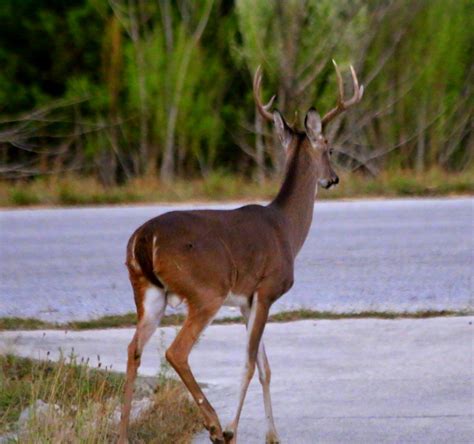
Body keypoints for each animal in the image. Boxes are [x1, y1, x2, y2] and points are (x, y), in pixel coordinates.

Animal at [118, 59, 362, 444]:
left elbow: (265, 366)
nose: (333, 179)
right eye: (329, 147)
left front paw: (272, 435)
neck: (286, 229)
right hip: (205, 290)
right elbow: (248, 363)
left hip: (147, 290)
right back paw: (214, 424)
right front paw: (233, 429)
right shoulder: (267, 288)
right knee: (176, 351)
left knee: (134, 348)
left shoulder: (247, 300)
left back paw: (125, 434)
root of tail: (145, 237)